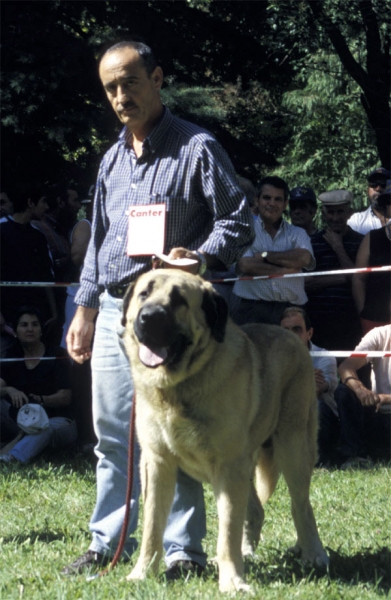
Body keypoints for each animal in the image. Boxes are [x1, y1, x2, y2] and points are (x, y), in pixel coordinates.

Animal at [121, 270, 330, 592]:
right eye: (144, 294)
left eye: (179, 300)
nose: (149, 317)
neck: (180, 385)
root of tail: (292, 335)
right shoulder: (156, 463)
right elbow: (152, 526)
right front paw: (142, 573)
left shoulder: (228, 466)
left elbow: (227, 530)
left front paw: (232, 582)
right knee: (256, 509)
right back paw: (250, 551)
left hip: (293, 446)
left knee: (301, 506)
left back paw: (313, 553)